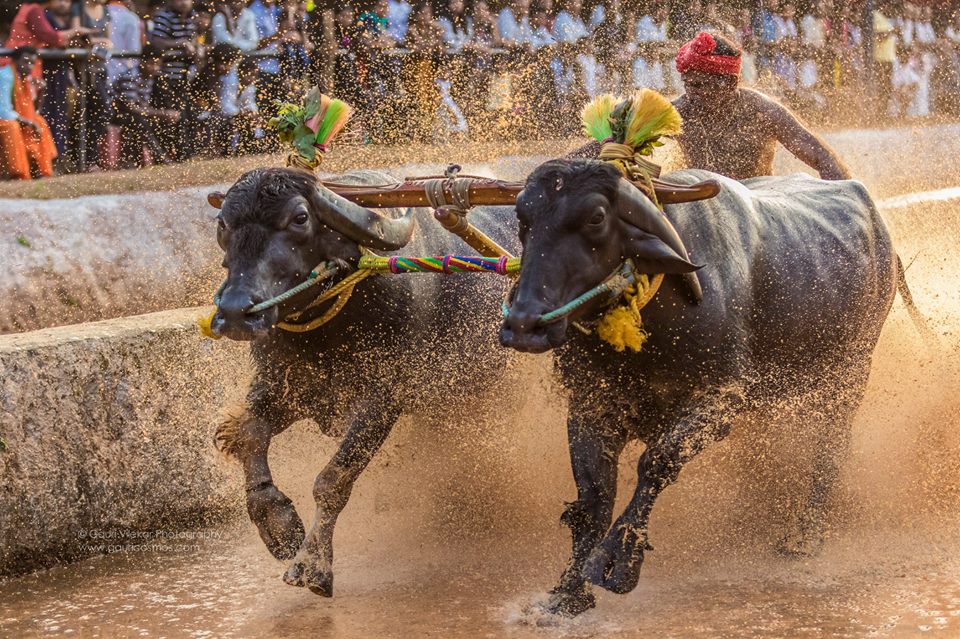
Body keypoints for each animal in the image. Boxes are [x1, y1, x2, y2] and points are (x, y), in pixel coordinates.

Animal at [210, 168, 516, 596]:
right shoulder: (282, 385)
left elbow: (332, 480)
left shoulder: (381, 400)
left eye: (300, 218)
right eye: (224, 224)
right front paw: (279, 527)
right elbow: (248, 434)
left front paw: (312, 565)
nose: (236, 312)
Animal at [498, 159, 912, 616]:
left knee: (830, 449)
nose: (523, 323)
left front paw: (617, 561)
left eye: (596, 217)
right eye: (523, 216)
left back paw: (804, 536)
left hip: (849, 376)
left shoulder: (720, 400)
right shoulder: (591, 405)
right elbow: (593, 496)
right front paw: (568, 593)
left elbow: (657, 461)